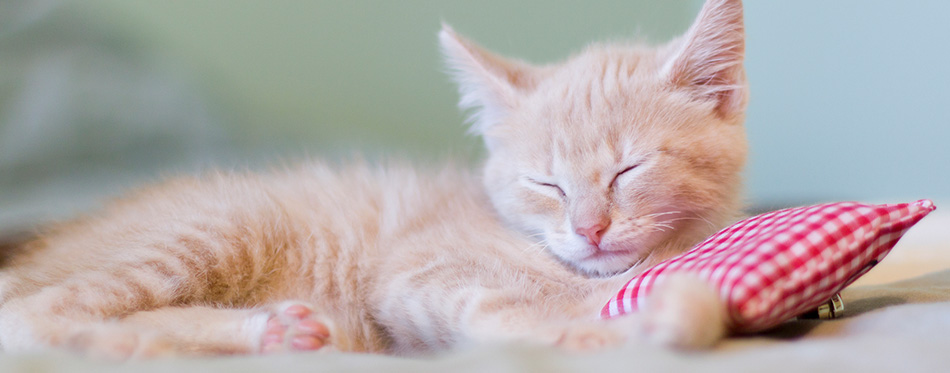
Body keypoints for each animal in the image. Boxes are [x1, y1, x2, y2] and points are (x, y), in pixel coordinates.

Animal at [0, 0, 748, 358]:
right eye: (547, 185)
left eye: (629, 168)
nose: (589, 229)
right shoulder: (417, 267)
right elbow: (513, 305)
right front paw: (599, 326)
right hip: (225, 222)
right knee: (30, 313)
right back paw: (122, 343)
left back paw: (274, 333)